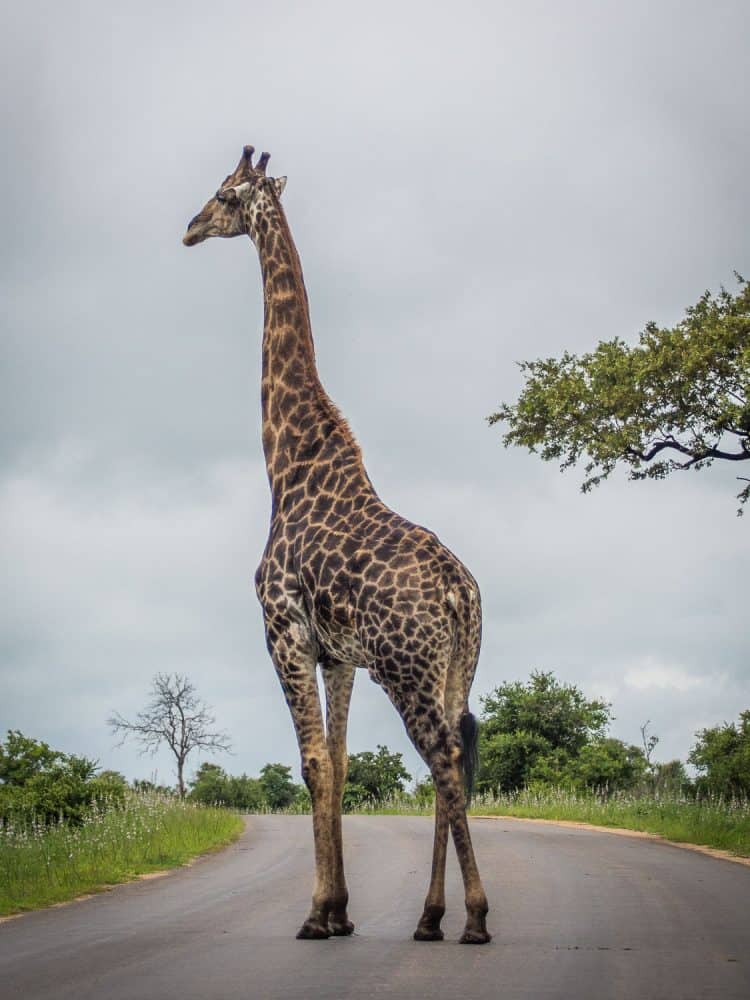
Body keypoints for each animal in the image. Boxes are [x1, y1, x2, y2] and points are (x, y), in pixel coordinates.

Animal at [184, 145, 494, 940]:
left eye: (224, 194)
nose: (189, 228)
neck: (287, 463)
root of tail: (462, 594)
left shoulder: (283, 633)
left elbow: (313, 763)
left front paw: (317, 913)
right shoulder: (339, 656)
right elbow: (344, 761)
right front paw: (341, 910)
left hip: (408, 670)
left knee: (444, 760)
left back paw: (475, 917)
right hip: (454, 669)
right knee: (453, 758)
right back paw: (428, 916)